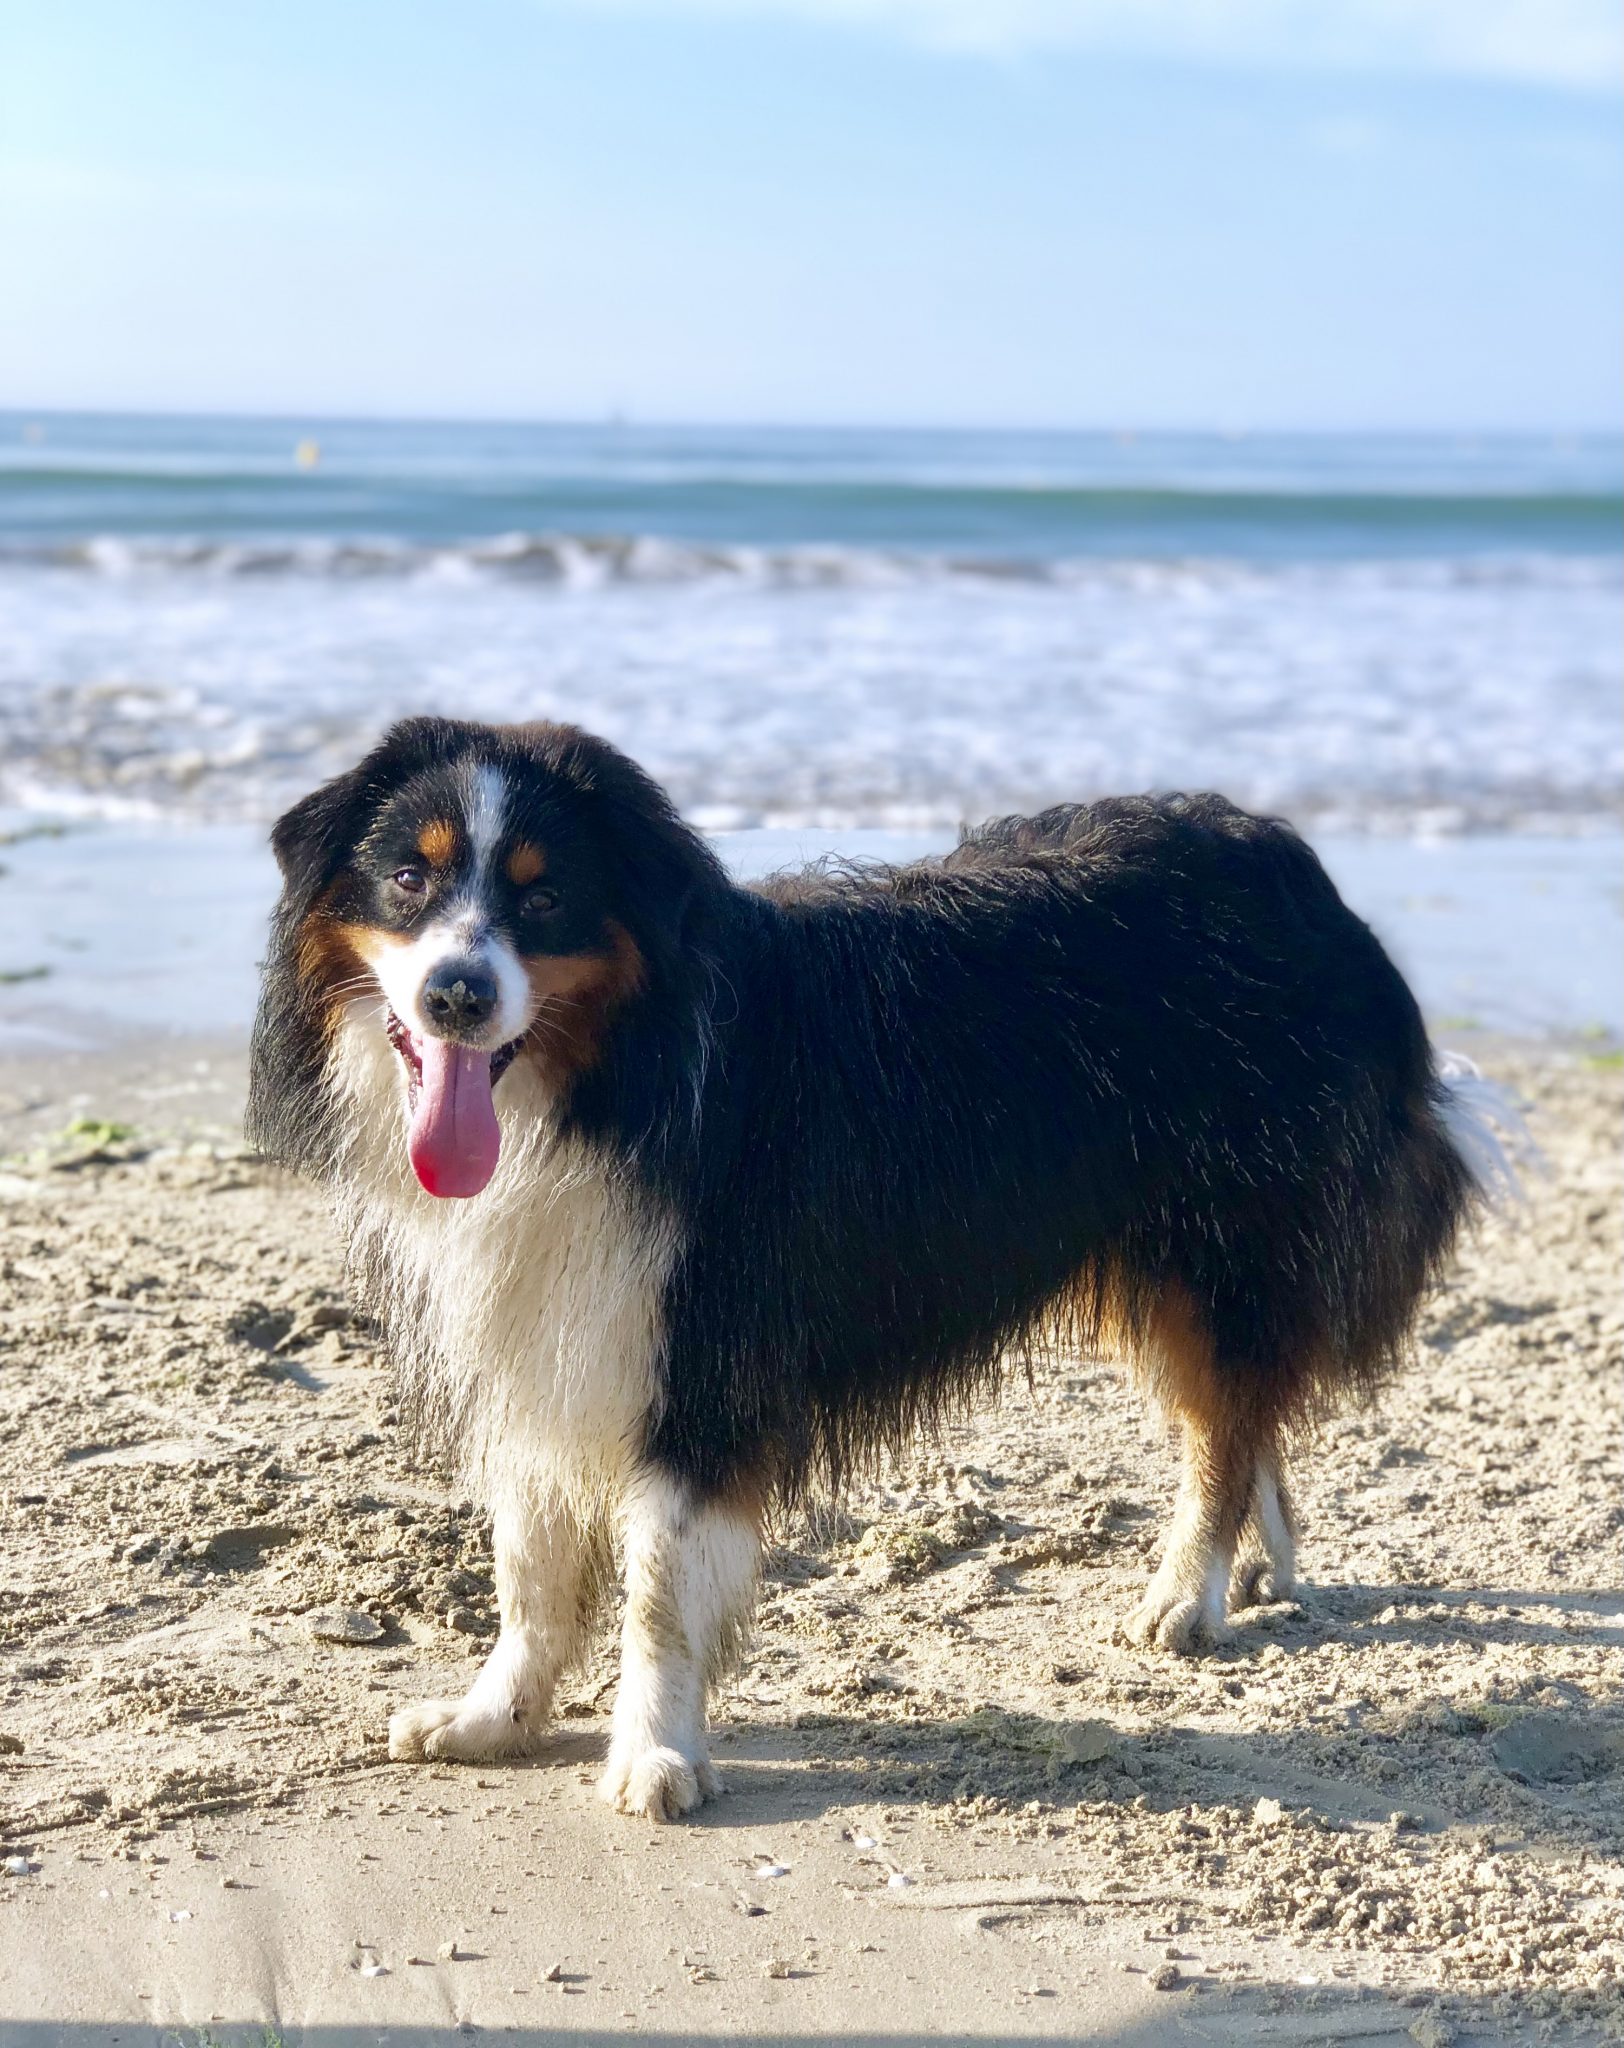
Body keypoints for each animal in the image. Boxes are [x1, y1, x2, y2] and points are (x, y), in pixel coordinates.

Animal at [248, 715, 1498, 1821]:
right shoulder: (545, 1333)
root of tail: (1293, 868)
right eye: (408, 878)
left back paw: (1185, 1596)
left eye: (544, 896)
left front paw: (654, 1755)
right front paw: (493, 1718)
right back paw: (1262, 1567)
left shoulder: (700, 1351)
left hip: (1217, 1241)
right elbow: (531, 1565)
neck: (598, 1088)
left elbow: (658, 1588)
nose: (456, 994)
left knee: (1225, 1421)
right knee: (1245, 1405)